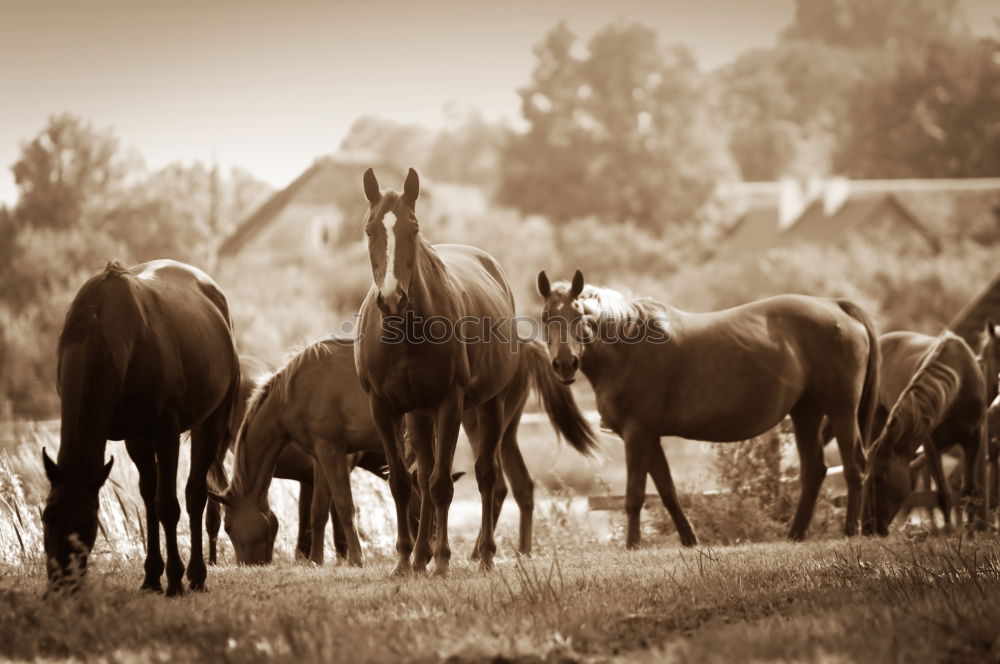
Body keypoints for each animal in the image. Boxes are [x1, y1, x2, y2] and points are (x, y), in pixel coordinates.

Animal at [43, 260, 240, 596]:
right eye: (47, 518)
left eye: (86, 522)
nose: (61, 586)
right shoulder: (135, 438)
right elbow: (149, 499)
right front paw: (151, 577)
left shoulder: (166, 433)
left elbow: (168, 505)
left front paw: (174, 579)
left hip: (210, 422)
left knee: (195, 495)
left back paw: (197, 574)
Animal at [356, 170, 596, 576]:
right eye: (370, 229)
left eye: (412, 228)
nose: (391, 299)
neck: (405, 332)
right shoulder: (382, 408)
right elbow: (404, 484)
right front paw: (404, 561)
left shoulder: (450, 404)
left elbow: (442, 485)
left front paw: (442, 560)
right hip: (422, 415)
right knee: (425, 475)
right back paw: (420, 556)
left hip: (489, 409)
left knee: (488, 477)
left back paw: (483, 554)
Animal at [540, 270, 876, 544]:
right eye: (545, 316)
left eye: (579, 315)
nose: (565, 364)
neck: (627, 346)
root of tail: (836, 305)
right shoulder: (650, 437)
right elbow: (667, 491)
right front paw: (690, 540)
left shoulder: (636, 435)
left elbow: (634, 495)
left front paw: (632, 545)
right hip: (806, 412)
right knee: (814, 471)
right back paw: (795, 534)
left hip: (842, 410)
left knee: (854, 466)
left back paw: (850, 530)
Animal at [860, 332, 992, 536]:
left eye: (880, 477)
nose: (867, 528)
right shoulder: (930, 443)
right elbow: (943, 494)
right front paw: (948, 534)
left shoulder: (974, 438)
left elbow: (969, 491)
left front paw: (970, 535)